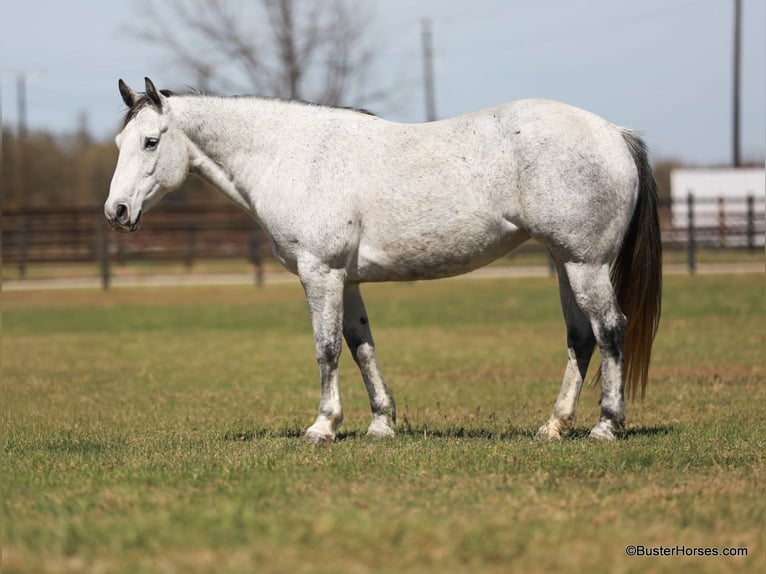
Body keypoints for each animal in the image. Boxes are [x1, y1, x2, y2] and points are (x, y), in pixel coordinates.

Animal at [105, 78, 662, 443]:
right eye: (119, 142)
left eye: (150, 141)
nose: (116, 211)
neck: (290, 155)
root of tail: (614, 132)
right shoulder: (346, 280)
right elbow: (361, 346)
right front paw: (380, 423)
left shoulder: (320, 272)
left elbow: (327, 348)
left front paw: (323, 426)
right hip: (566, 262)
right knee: (581, 337)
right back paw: (553, 426)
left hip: (586, 263)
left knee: (611, 329)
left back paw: (606, 426)